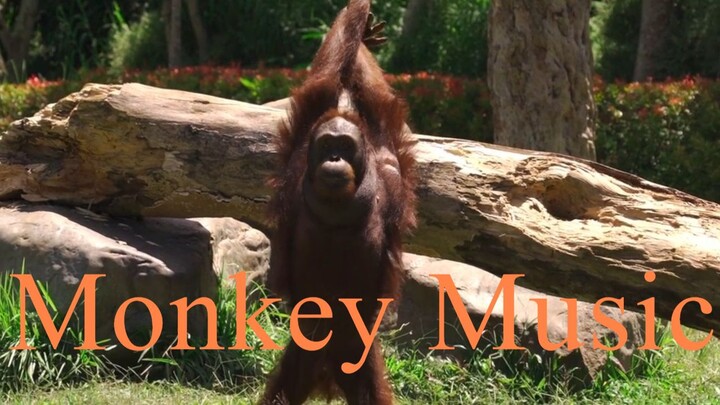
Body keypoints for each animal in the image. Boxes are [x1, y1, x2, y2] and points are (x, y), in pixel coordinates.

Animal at [262, 0, 416, 404]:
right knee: (288, 385)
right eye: (328, 145)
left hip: (357, 352)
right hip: (305, 348)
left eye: (344, 147)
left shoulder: (389, 168)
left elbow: (375, 102)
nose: (334, 158)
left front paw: (363, 34)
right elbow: (325, 80)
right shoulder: (299, 153)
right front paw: (361, 30)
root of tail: (328, 369)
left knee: (368, 389)